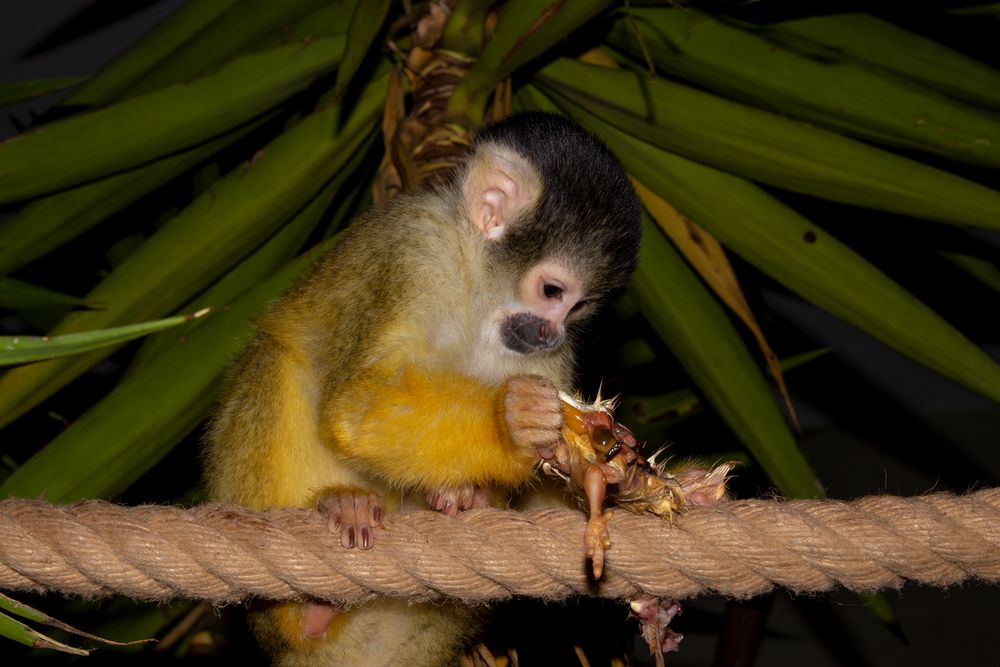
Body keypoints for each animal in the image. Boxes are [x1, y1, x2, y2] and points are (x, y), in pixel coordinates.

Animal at [203, 112, 640, 664]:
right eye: (552, 291)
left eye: (579, 308)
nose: (551, 332)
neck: (477, 286)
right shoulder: (415, 250)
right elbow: (356, 406)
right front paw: (510, 419)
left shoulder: (549, 358)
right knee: (277, 361)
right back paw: (308, 597)